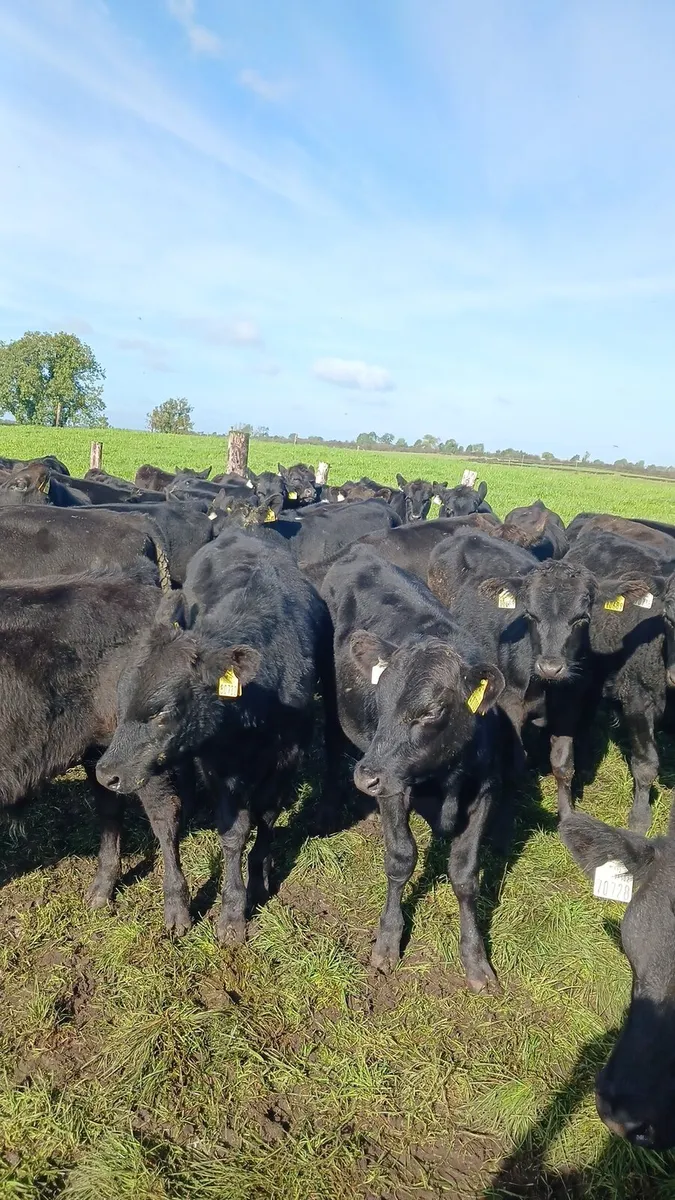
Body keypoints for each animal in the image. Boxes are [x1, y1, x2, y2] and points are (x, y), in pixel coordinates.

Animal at [95, 528, 332, 941]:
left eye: (162, 711)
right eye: (121, 700)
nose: (105, 773)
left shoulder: (288, 756)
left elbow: (266, 817)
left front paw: (258, 878)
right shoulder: (216, 765)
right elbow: (231, 832)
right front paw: (230, 912)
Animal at [321, 543, 506, 991]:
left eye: (432, 711)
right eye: (380, 696)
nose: (365, 775)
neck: (447, 778)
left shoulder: (487, 790)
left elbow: (465, 874)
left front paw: (476, 959)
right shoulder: (393, 786)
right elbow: (401, 858)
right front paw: (387, 940)